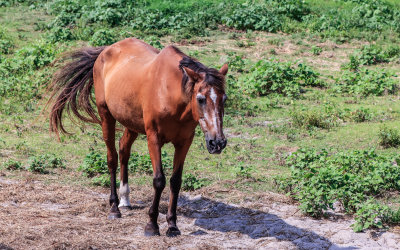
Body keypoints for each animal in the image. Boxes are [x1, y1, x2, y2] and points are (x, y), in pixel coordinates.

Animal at [48, 38, 228, 237]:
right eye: (201, 99)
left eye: (224, 99)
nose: (217, 142)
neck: (170, 93)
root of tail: (106, 50)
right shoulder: (153, 138)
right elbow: (159, 180)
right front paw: (152, 225)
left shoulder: (184, 142)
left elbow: (175, 182)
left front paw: (172, 225)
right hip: (106, 116)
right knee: (112, 158)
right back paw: (114, 208)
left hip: (131, 123)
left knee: (123, 149)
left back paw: (125, 200)